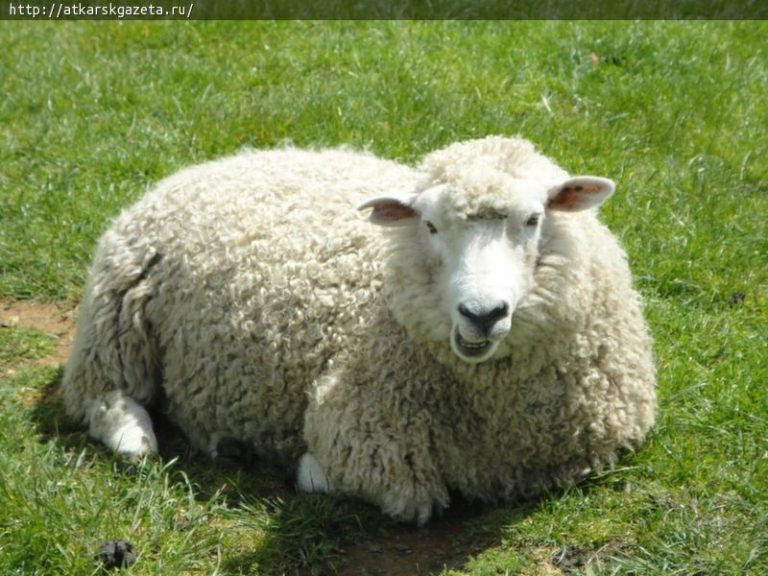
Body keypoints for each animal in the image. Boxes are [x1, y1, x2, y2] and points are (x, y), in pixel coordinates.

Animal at [62, 137, 656, 526]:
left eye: (534, 220)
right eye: (429, 225)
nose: (482, 313)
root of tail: (207, 165)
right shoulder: (358, 430)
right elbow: (380, 488)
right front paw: (300, 464)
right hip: (114, 316)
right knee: (104, 398)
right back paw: (140, 439)